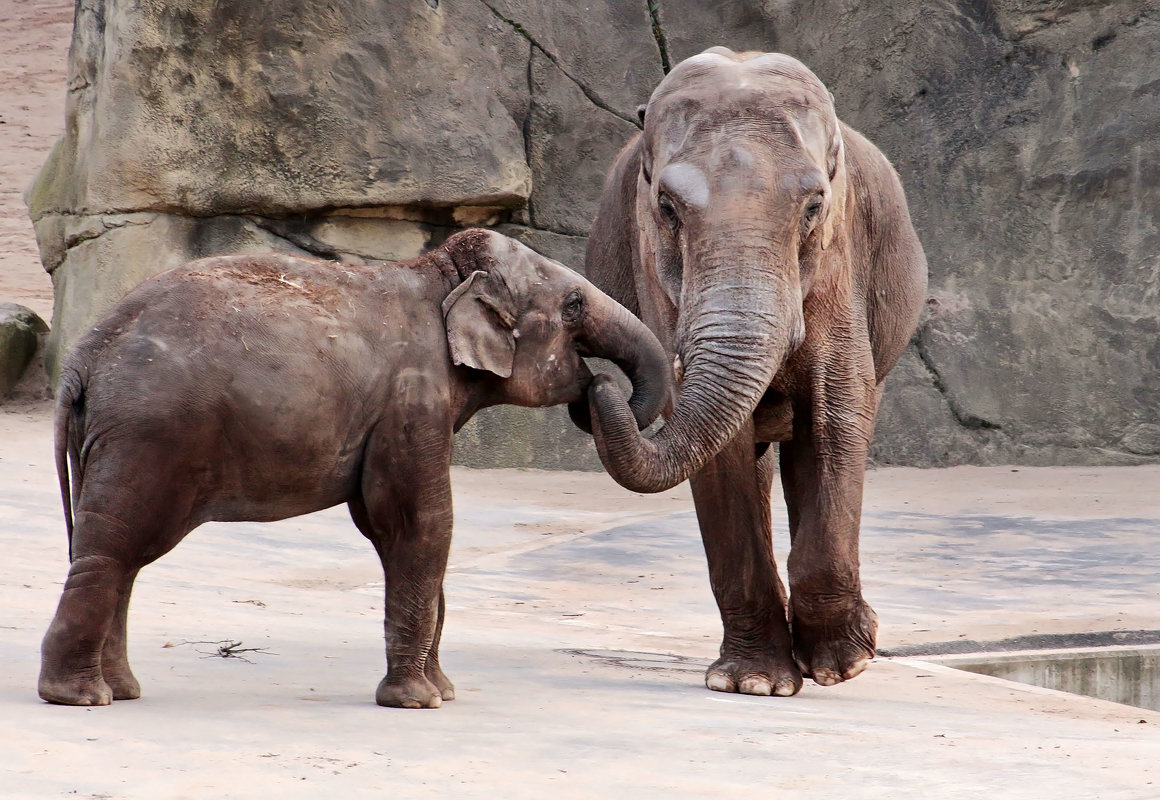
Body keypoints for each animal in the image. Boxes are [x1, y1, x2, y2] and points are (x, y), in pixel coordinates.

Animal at [40, 227, 672, 709]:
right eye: (573, 305)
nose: (598, 385)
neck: (439, 273)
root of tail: (81, 358)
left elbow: (386, 524)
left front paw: (442, 691)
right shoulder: (413, 398)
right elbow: (421, 523)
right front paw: (420, 702)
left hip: (125, 436)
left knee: (122, 553)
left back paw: (119, 690)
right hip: (150, 432)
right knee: (114, 547)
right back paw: (80, 697)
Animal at [584, 48, 928, 691]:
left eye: (814, 206)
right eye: (666, 208)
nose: (601, 386)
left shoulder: (839, 261)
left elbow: (838, 413)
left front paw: (843, 665)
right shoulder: (655, 273)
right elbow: (720, 449)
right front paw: (754, 682)